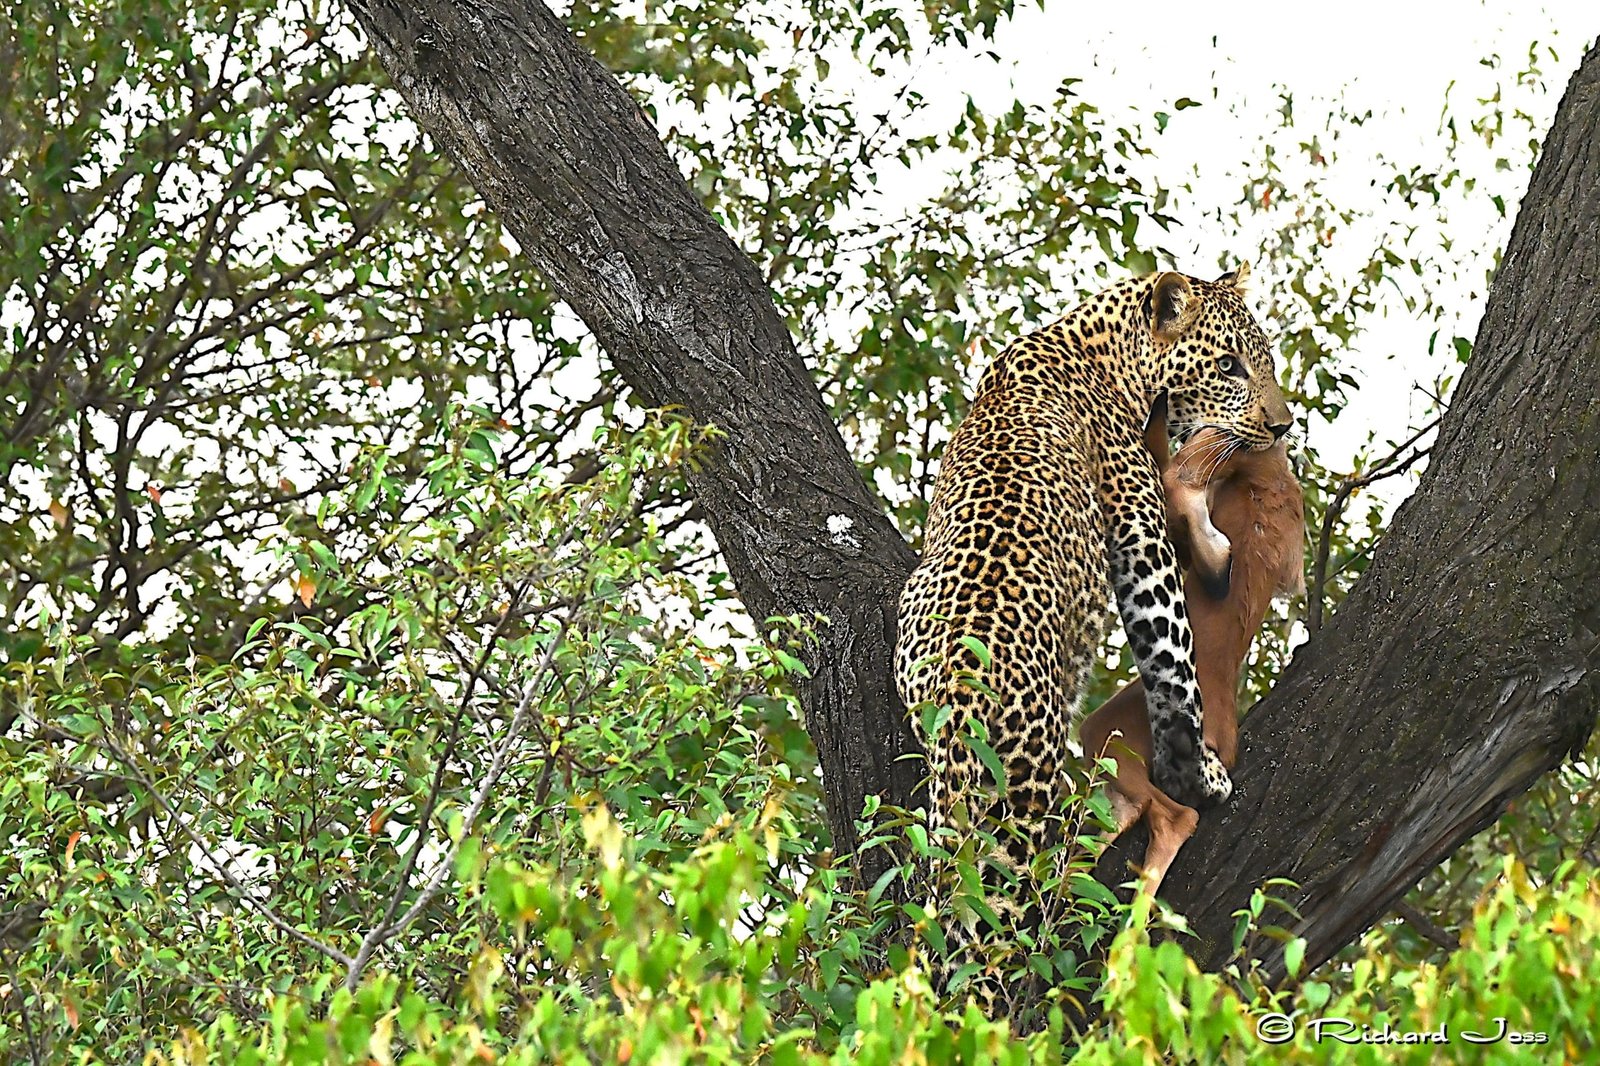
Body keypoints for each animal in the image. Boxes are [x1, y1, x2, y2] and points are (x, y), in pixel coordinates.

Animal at [893, 262, 1291, 1010]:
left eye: (1269, 361)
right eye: (1229, 365)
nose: (1283, 426)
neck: (1101, 345)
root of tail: (959, 688)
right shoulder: (1138, 531)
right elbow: (1174, 663)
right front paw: (1198, 772)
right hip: (1018, 799)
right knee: (988, 935)